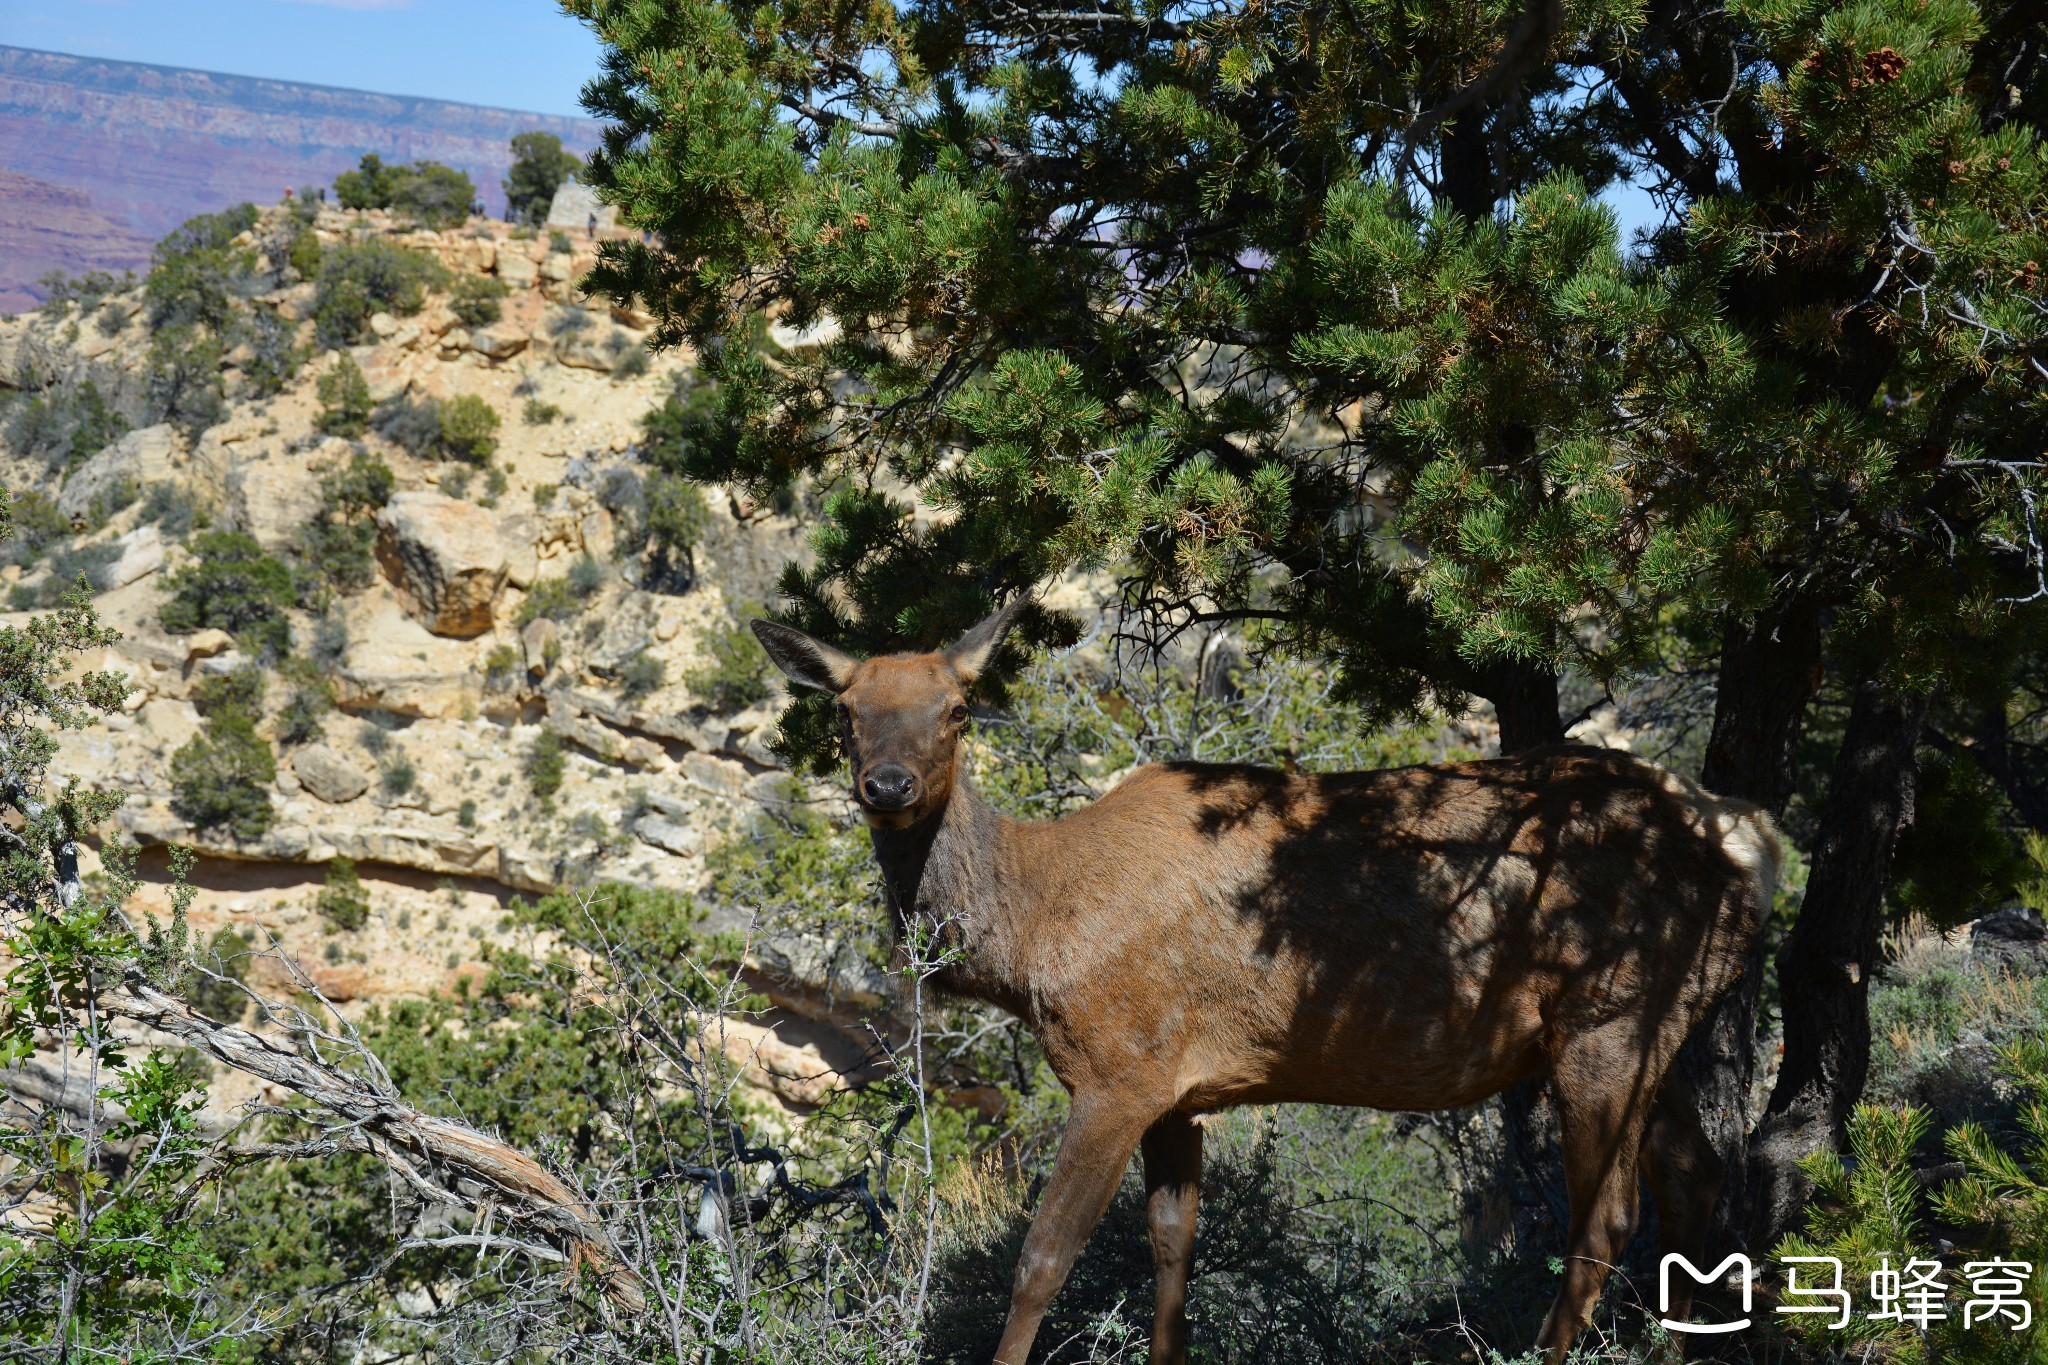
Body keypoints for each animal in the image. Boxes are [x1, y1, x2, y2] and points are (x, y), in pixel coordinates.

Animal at [753, 601, 1777, 1358]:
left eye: (957, 710)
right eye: (845, 710)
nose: (888, 785)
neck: (1035, 934)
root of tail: (1750, 849)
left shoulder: (1119, 1068)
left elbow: (1043, 1258)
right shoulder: (1177, 1086)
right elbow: (1172, 1250)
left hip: (1611, 1017)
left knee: (1607, 1218)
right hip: (1655, 1026)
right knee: (1694, 1178)